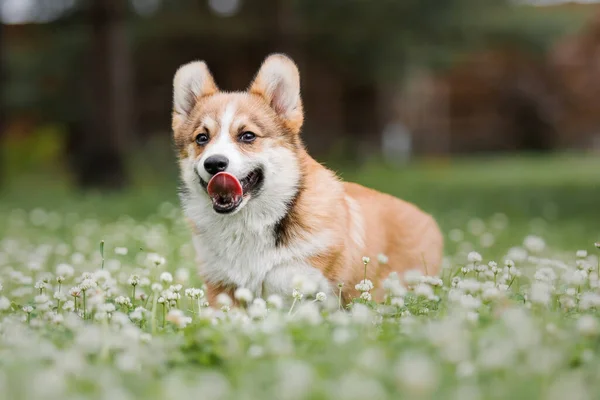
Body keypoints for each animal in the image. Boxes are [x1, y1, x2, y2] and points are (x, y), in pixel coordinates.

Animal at [171, 52, 442, 304]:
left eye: (247, 136)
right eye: (202, 138)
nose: (214, 163)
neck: (249, 222)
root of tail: (426, 218)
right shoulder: (222, 290)